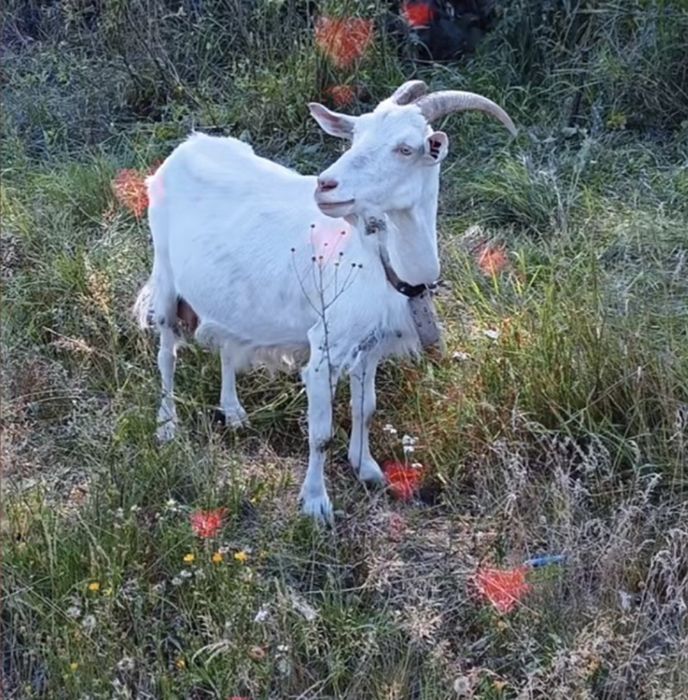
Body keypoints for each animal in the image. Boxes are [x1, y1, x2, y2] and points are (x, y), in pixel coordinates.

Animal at [134, 80, 515, 521]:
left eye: (406, 149)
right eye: (354, 137)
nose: (325, 185)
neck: (381, 257)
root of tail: (189, 145)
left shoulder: (370, 345)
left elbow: (365, 409)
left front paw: (367, 469)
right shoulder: (326, 347)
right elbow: (320, 433)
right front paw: (316, 504)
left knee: (228, 342)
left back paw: (233, 412)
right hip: (165, 275)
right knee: (166, 353)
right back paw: (167, 426)